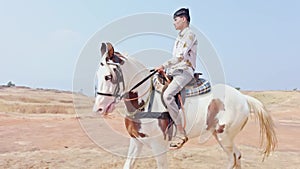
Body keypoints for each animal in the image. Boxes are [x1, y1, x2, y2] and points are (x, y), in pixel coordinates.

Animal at [93, 42, 276, 169]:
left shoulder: (159, 146)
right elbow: (128, 164)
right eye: (98, 75)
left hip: (225, 136)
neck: (144, 104)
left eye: (108, 76)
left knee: (232, 158)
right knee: (237, 156)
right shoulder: (136, 141)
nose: (99, 109)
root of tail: (243, 98)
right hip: (222, 136)